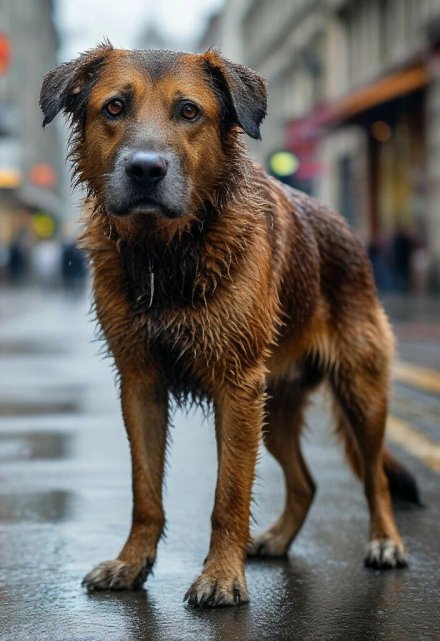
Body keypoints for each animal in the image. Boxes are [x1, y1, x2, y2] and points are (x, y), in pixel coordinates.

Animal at [40, 43, 420, 604]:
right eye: (113, 107)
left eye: (188, 111)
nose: (145, 169)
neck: (168, 256)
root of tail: (346, 229)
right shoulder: (140, 385)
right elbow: (144, 492)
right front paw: (133, 563)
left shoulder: (236, 389)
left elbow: (230, 494)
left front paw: (221, 575)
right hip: (274, 410)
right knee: (306, 483)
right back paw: (278, 539)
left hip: (360, 393)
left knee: (375, 477)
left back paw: (386, 543)